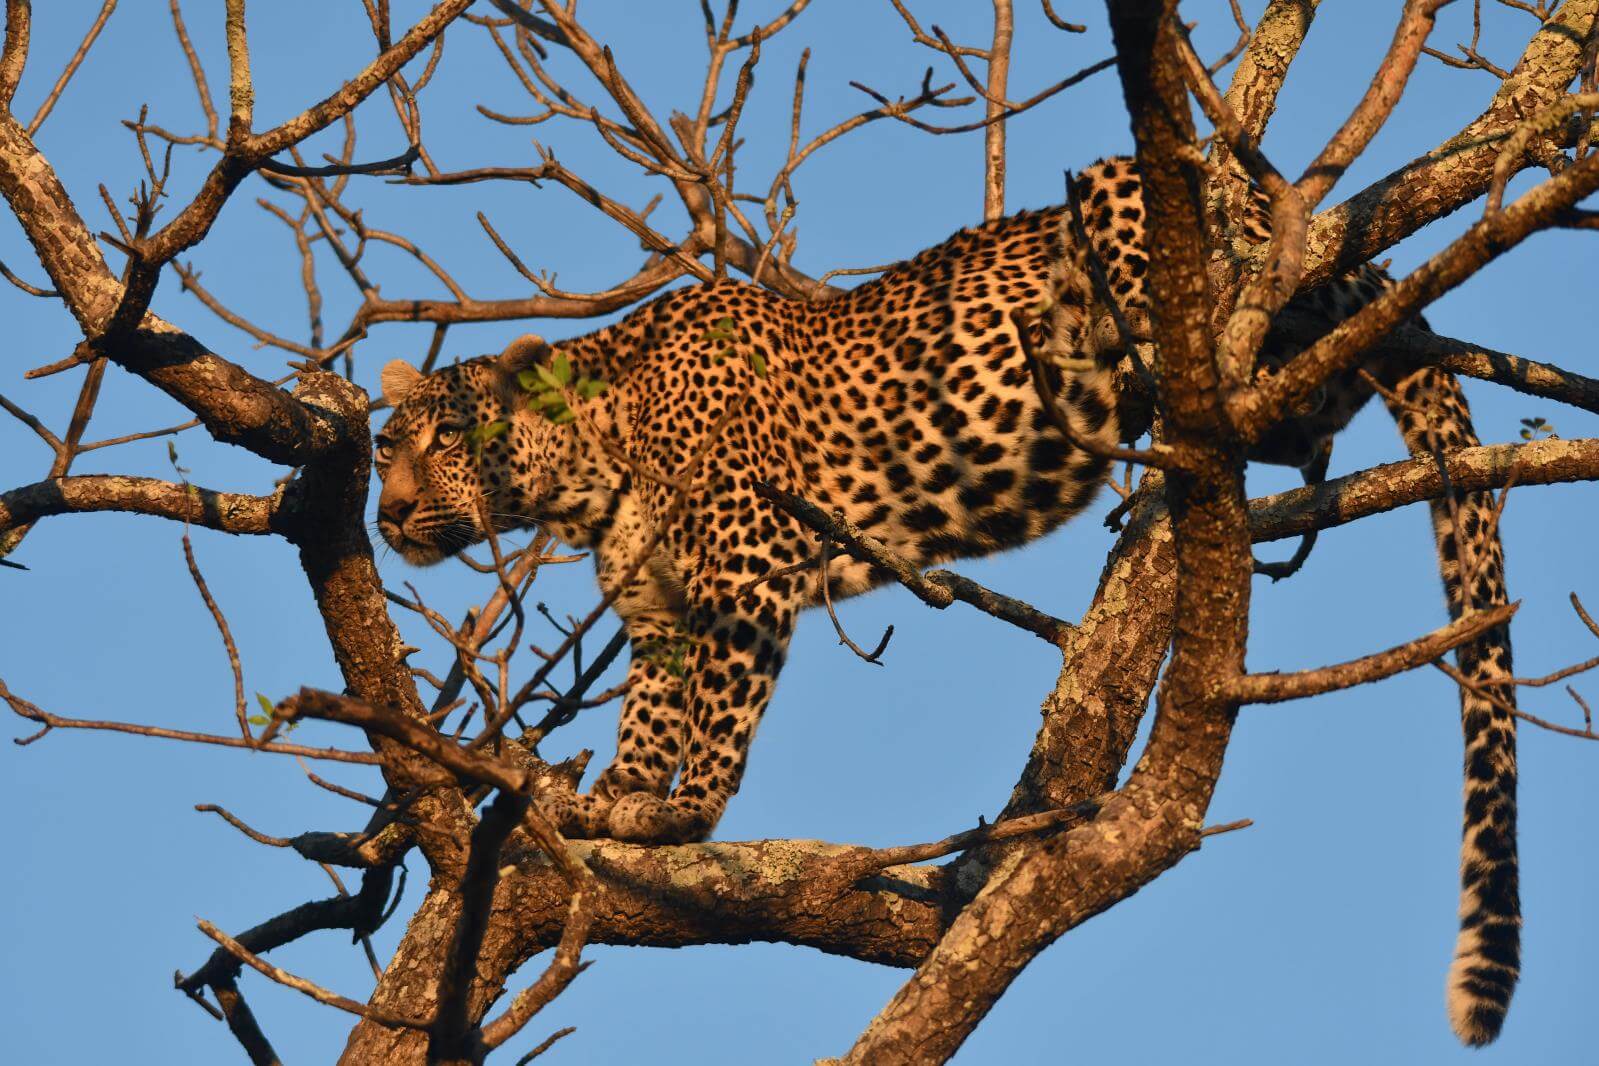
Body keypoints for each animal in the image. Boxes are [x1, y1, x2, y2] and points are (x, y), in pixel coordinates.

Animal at [374, 156, 1519, 1046]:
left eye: (450, 438)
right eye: (387, 447)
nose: (385, 516)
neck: (592, 465)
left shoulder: (746, 566)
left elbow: (719, 714)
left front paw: (688, 813)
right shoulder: (658, 613)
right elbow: (652, 714)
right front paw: (616, 797)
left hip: (1133, 189)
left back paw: (1164, 373)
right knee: (1317, 405)